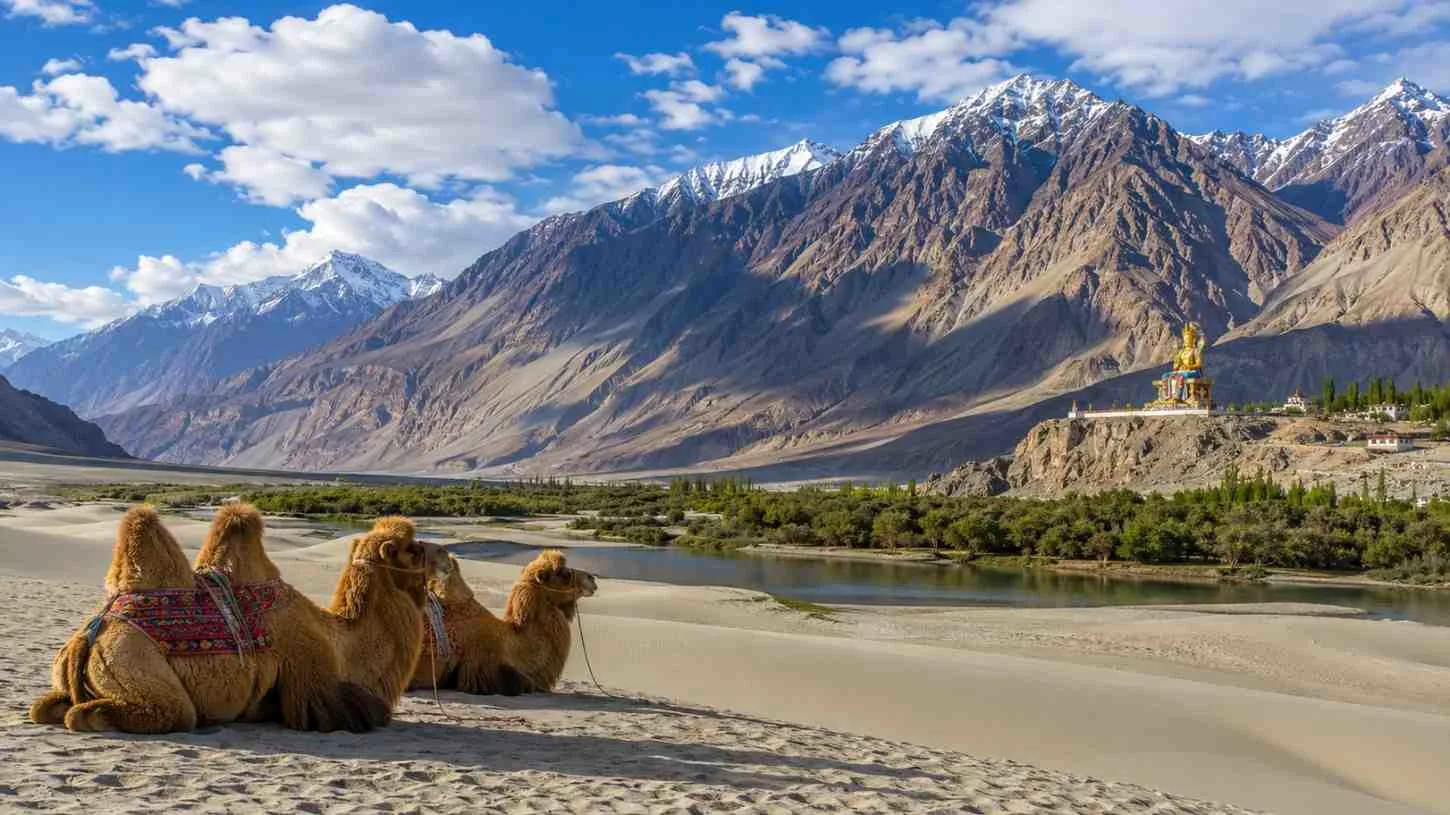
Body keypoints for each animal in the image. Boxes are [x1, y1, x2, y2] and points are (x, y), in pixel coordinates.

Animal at [29, 505, 445, 734]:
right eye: (411, 549)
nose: (440, 554)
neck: (340, 639)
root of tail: (86, 639)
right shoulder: (314, 684)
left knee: (47, 706)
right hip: (134, 664)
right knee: (156, 712)